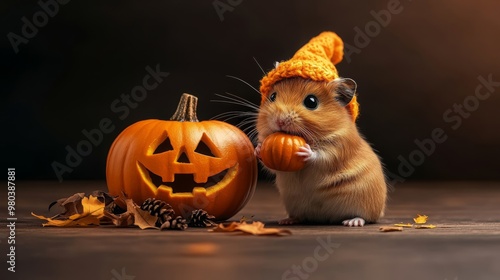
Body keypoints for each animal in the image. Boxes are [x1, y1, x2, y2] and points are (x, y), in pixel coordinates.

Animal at [256, 77, 388, 228]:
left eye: (311, 102)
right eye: (272, 96)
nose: (280, 121)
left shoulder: (338, 147)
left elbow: (321, 156)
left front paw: (305, 151)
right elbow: (269, 165)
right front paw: (258, 148)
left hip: (365, 202)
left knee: (365, 217)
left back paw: (352, 222)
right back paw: (287, 221)